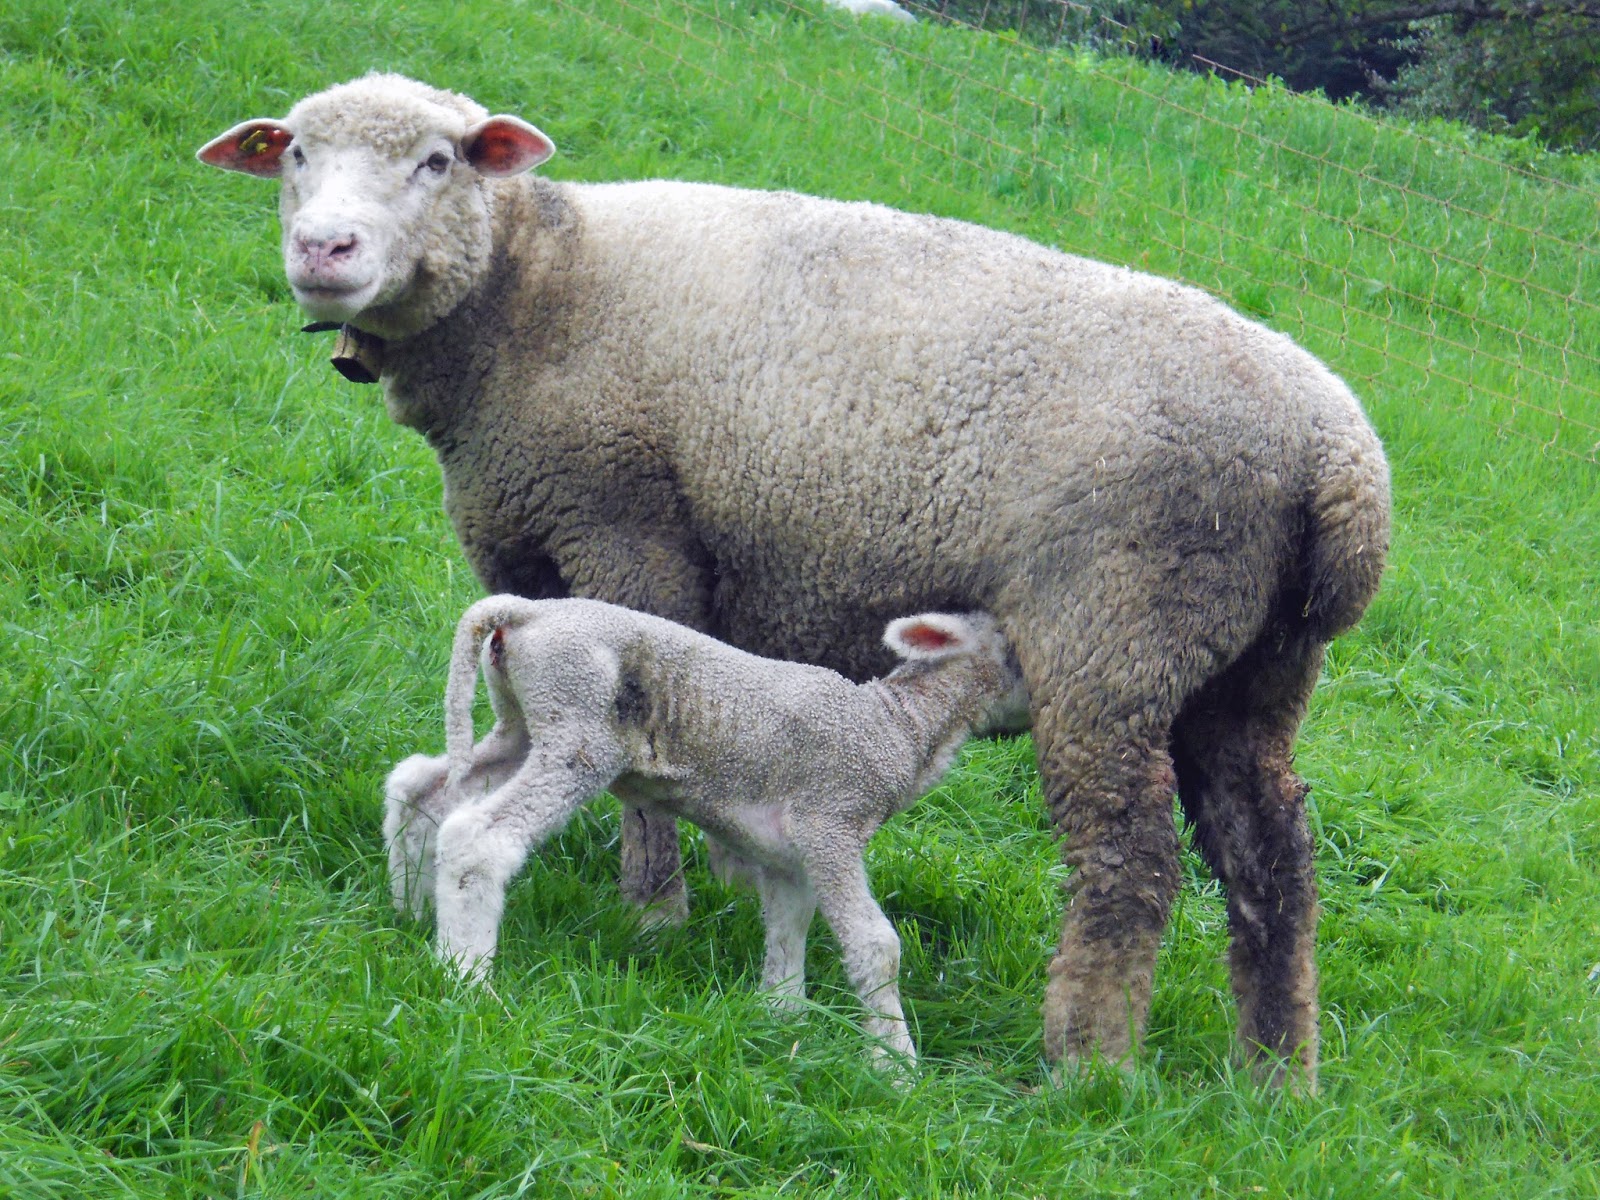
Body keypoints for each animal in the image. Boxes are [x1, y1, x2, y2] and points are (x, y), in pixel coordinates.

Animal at [382, 595, 1026, 1061]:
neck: (899, 727)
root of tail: (522, 612)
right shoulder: (830, 822)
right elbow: (875, 946)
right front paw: (895, 1065)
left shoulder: (789, 853)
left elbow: (787, 926)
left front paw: (780, 1018)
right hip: (578, 729)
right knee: (478, 841)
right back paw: (466, 977)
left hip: (522, 723)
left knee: (421, 791)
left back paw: (411, 910)